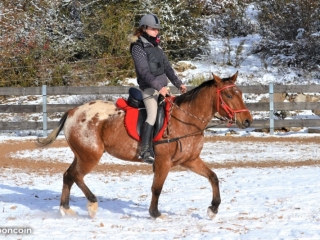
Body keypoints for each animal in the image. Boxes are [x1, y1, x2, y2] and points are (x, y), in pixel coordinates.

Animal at [36, 71, 252, 219]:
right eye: (229, 96)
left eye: (241, 93)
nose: (248, 121)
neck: (185, 119)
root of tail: (73, 111)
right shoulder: (163, 162)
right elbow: (157, 188)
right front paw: (155, 213)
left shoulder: (190, 160)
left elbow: (213, 177)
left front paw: (213, 209)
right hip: (91, 156)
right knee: (76, 176)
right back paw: (92, 205)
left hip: (81, 154)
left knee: (68, 175)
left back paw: (66, 209)